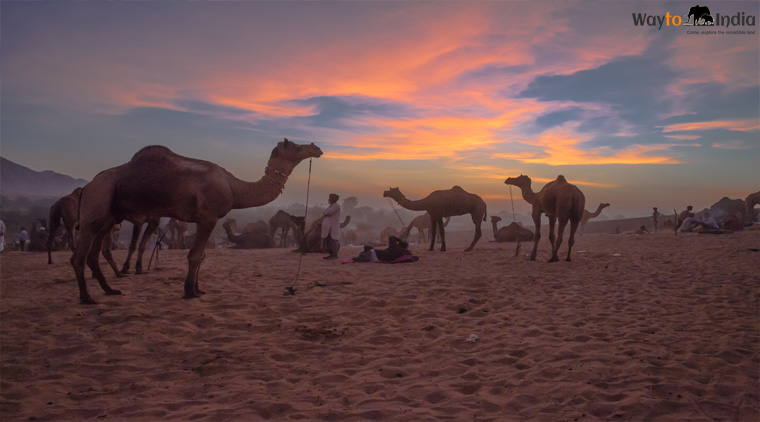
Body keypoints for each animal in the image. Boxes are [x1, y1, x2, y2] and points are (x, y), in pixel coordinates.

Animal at [70, 138, 322, 304]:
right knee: (79, 256)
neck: (234, 187)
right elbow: (195, 255)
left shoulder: (206, 219)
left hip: (108, 217)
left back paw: (110, 290)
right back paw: (86, 297)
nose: (316, 147)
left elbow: (201, 256)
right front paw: (189, 291)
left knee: (93, 254)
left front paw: (198, 290)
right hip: (97, 202)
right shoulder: (208, 216)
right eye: (296, 146)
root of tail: (87, 187)